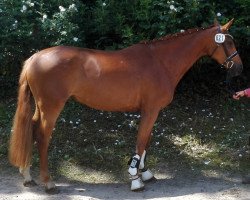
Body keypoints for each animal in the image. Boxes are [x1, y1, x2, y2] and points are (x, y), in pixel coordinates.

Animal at [9, 19, 242, 192]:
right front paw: (135, 179)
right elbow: (141, 142)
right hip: (51, 107)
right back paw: (48, 182)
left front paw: (145, 173)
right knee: (42, 136)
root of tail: (34, 58)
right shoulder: (150, 110)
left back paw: (27, 175)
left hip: (40, 107)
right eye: (229, 42)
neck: (160, 61)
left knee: (31, 129)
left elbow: (146, 141)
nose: (238, 69)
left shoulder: (151, 111)